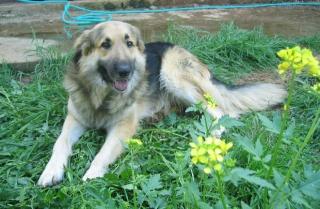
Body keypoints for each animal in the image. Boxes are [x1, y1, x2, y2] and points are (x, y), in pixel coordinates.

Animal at [36, 21, 286, 187]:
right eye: (105, 44)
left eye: (129, 43)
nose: (126, 71)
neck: (103, 95)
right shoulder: (74, 118)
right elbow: (60, 143)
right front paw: (51, 171)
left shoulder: (122, 128)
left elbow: (104, 152)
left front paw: (93, 174)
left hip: (173, 76)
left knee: (223, 113)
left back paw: (212, 136)